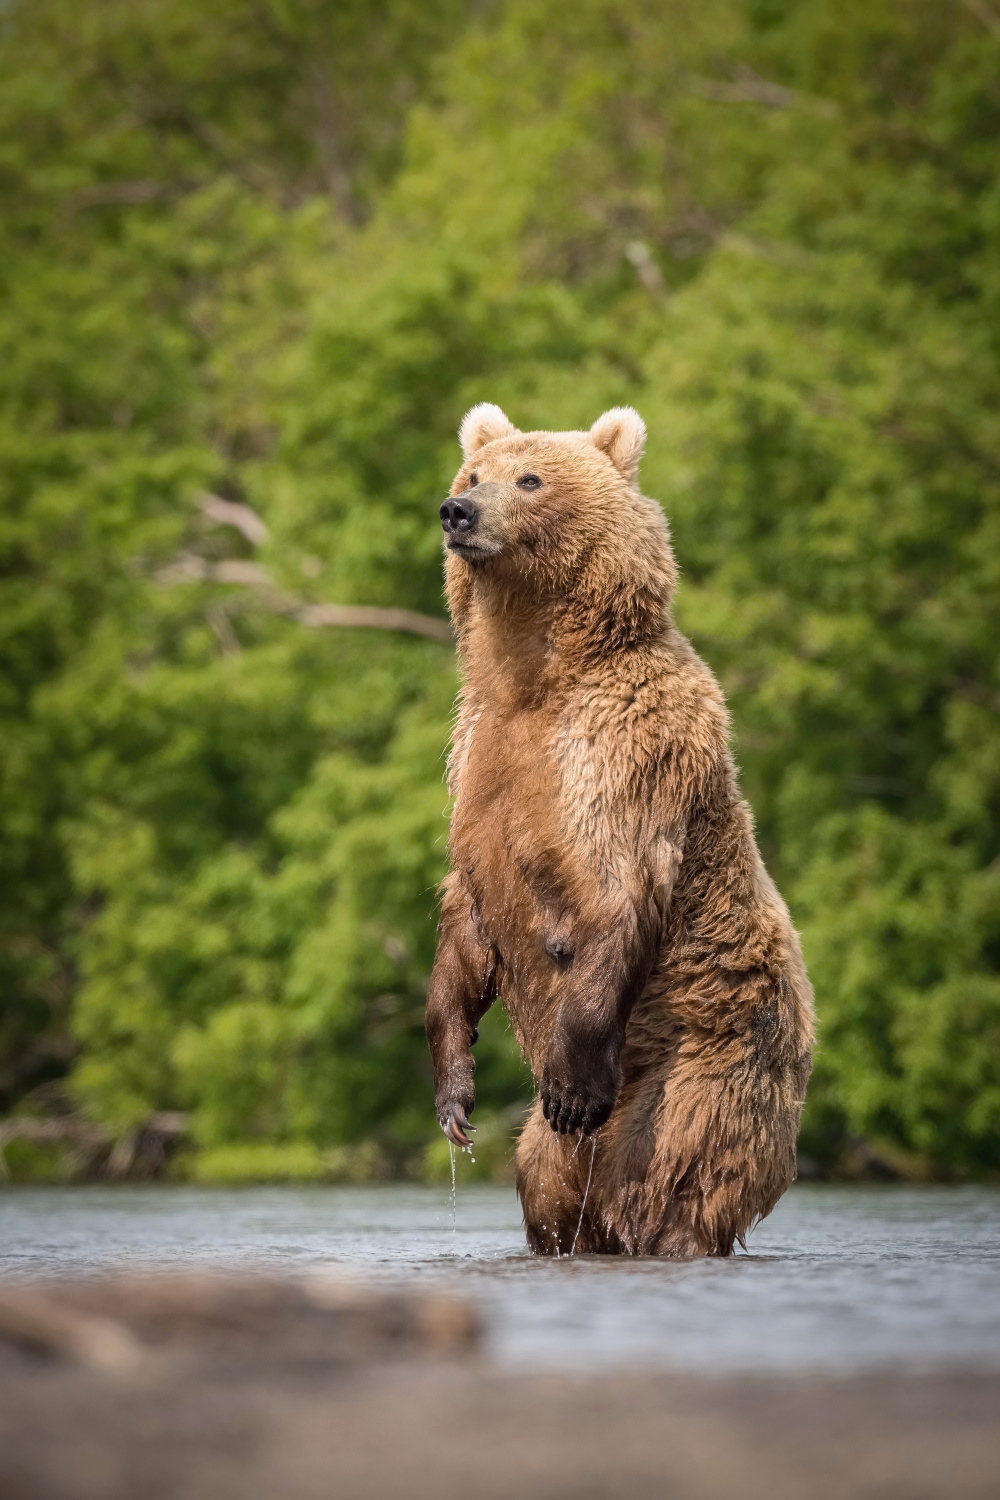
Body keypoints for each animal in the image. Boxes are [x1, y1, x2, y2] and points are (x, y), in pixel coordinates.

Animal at [425, 402, 815, 1254]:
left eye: (529, 479)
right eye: (472, 472)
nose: (458, 512)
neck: (536, 676)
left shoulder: (625, 752)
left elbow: (617, 892)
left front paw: (572, 1087)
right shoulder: (476, 761)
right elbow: (464, 919)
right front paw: (454, 1095)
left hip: (699, 1064)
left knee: (666, 1173)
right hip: (561, 1140)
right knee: (544, 1179)